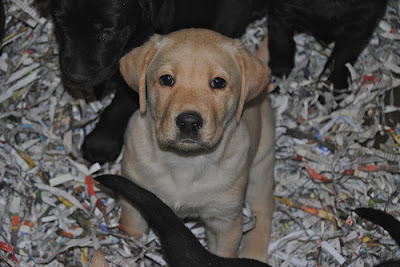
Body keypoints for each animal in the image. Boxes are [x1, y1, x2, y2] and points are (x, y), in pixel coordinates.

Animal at [119, 28, 276, 262]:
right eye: (166, 79)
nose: (189, 122)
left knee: (263, 208)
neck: (184, 163)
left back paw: (254, 252)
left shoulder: (224, 221)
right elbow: (132, 230)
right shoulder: (135, 196)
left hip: (262, 166)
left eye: (218, 83)